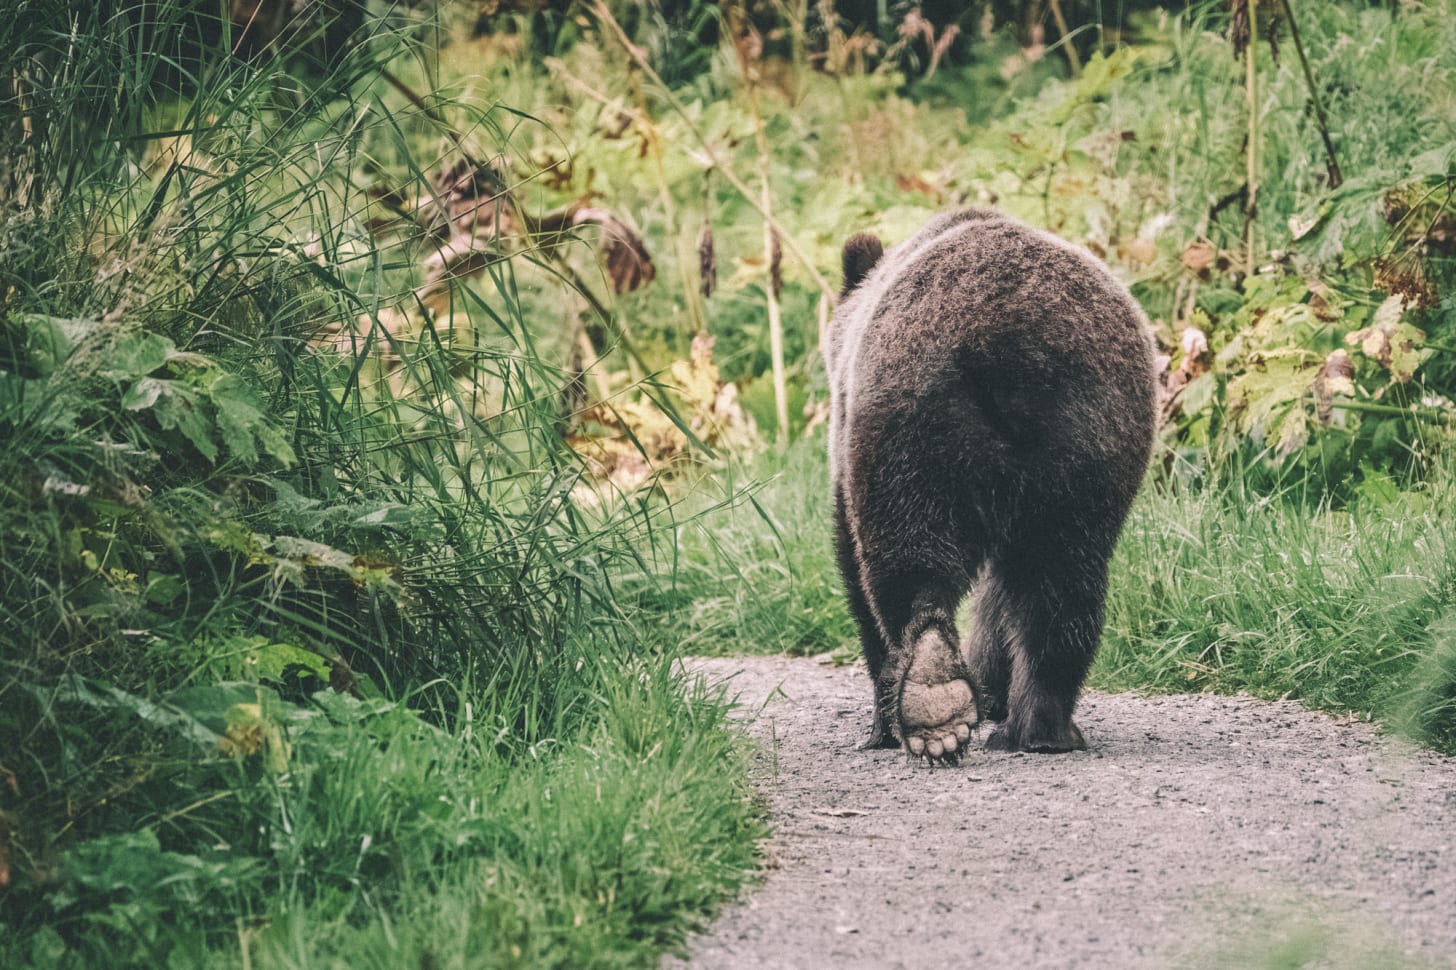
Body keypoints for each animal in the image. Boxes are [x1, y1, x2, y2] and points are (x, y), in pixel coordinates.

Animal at [824, 209, 1156, 762]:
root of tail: (1009, 342)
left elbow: (853, 563)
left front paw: (880, 726)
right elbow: (1005, 597)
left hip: (912, 416)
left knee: (905, 560)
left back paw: (931, 697)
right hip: (1089, 434)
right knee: (1060, 579)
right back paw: (1040, 726)